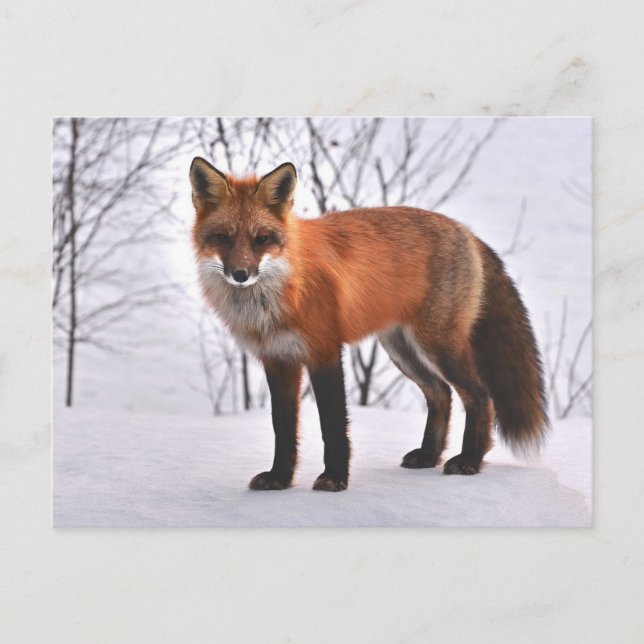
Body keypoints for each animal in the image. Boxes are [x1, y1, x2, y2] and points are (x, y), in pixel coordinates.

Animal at [189, 157, 548, 492]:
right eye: (222, 237)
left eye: (261, 239)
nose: (240, 274)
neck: (279, 294)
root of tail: (464, 230)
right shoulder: (278, 360)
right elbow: (283, 428)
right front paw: (280, 478)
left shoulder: (324, 352)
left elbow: (333, 424)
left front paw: (334, 478)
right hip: (402, 349)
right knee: (441, 394)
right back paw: (429, 455)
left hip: (439, 345)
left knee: (480, 396)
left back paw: (470, 459)